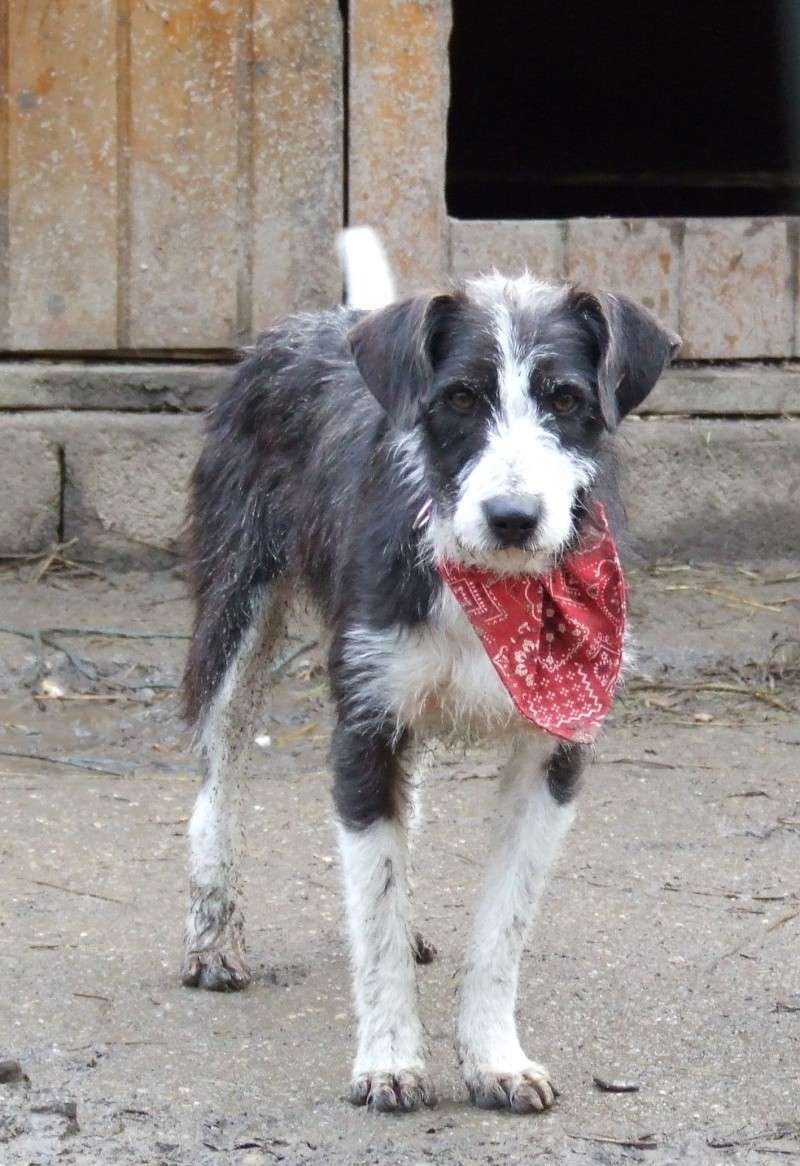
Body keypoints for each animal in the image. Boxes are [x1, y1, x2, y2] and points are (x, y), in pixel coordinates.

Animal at [178, 227, 681, 1110]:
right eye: (459, 399)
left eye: (566, 400)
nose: (513, 517)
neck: (495, 585)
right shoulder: (364, 728)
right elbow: (372, 916)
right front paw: (388, 1059)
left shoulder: (555, 750)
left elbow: (501, 926)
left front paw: (494, 1058)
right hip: (238, 611)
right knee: (215, 782)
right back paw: (213, 934)